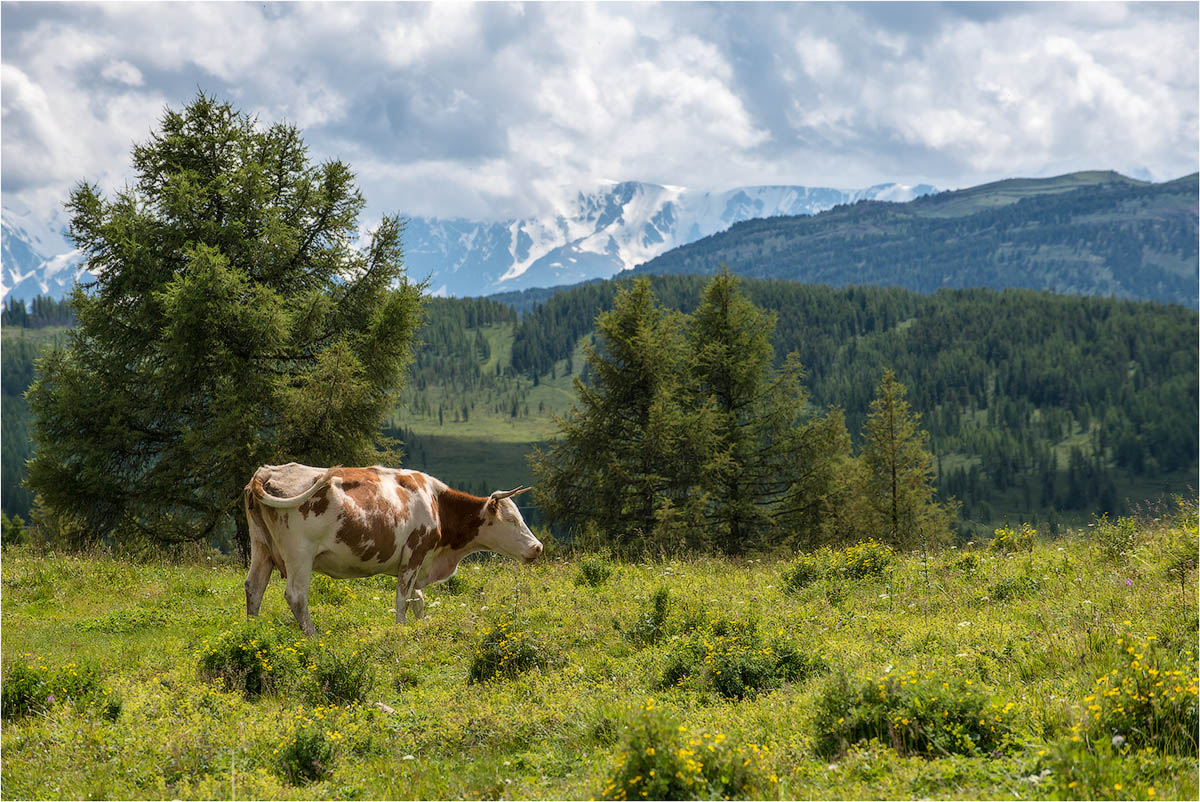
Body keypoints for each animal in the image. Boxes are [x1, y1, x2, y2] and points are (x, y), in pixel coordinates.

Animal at [241, 461, 542, 633]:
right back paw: (312, 637)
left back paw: (252, 634)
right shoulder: (414, 553)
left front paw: (418, 629)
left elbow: (417, 600)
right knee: (296, 596)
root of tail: (267, 471)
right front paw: (400, 632)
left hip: (261, 548)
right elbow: (402, 600)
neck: (435, 502)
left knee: (254, 588)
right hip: (299, 555)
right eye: (512, 519)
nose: (537, 547)